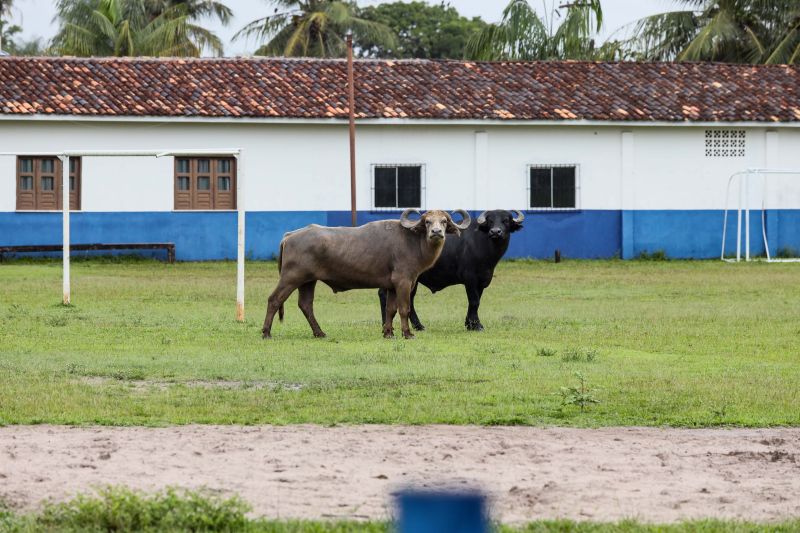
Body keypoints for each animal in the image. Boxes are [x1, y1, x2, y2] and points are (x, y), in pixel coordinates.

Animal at [262, 208, 468, 336]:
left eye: (444, 221)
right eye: (427, 222)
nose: (436, 232)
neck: (413, 241)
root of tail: (289, 236)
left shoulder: (391, 286)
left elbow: (390, 309)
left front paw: (388, 333)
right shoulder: (404, 282)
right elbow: (404, 309)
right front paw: (407, 333)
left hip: (307, 281)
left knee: (306, 305)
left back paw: (319, 333)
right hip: (291, 277)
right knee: (274, 300)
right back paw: (266, 332)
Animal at [382, 209, 524, 330]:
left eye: (506, 220)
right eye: (490, 221)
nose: (495, 232)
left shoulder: (482, 281)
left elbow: (476, 301)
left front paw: (469, 324)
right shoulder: (470, 278)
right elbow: (474, 301)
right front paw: (476, 325)